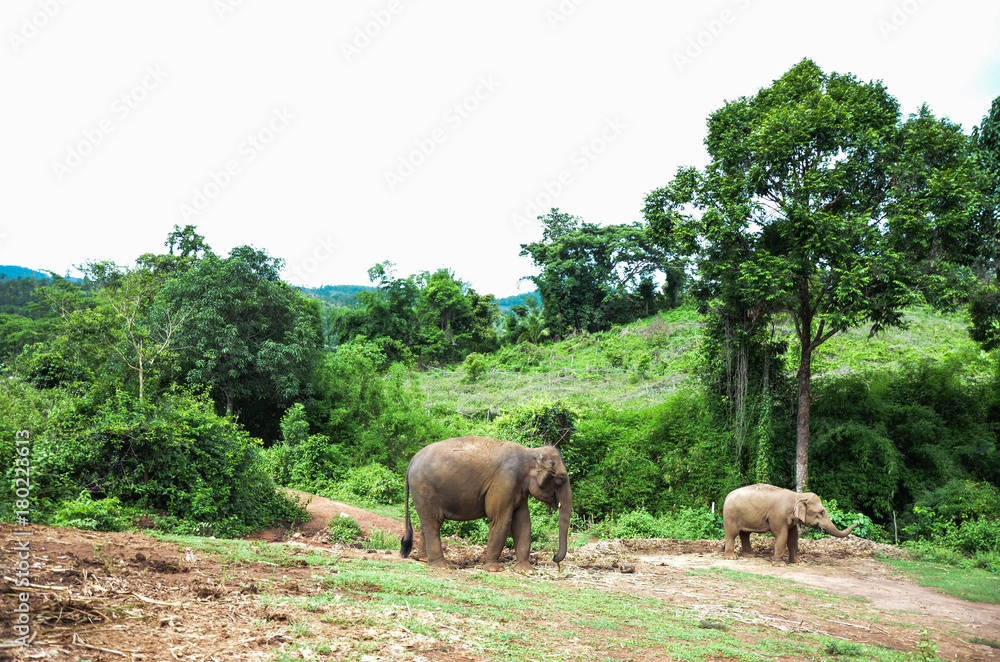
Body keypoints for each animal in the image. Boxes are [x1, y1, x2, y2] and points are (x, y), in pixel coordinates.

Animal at [400, 436, 572, 573]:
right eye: (560, 479)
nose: (554, 558)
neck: (530, 453)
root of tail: (412, 460)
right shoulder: (505, 480)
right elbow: (500, 520)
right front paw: (495, 569)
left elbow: (523, 523)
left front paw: (526, 570)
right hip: (424, 487)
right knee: (434, 522)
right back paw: (441, 566)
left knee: (425, 521)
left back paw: (423, 559)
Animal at [723, 484, 857, 565]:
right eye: (821, 512)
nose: (856, 522)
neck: (798, 496)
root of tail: (728, 494)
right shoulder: (778, 516)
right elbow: (782, 535)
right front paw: (780, 564)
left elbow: (793, 537)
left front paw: (798, 561)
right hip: (730, 515)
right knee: (732, 534)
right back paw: (731, 557)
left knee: (745, 534)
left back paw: (751, 556)